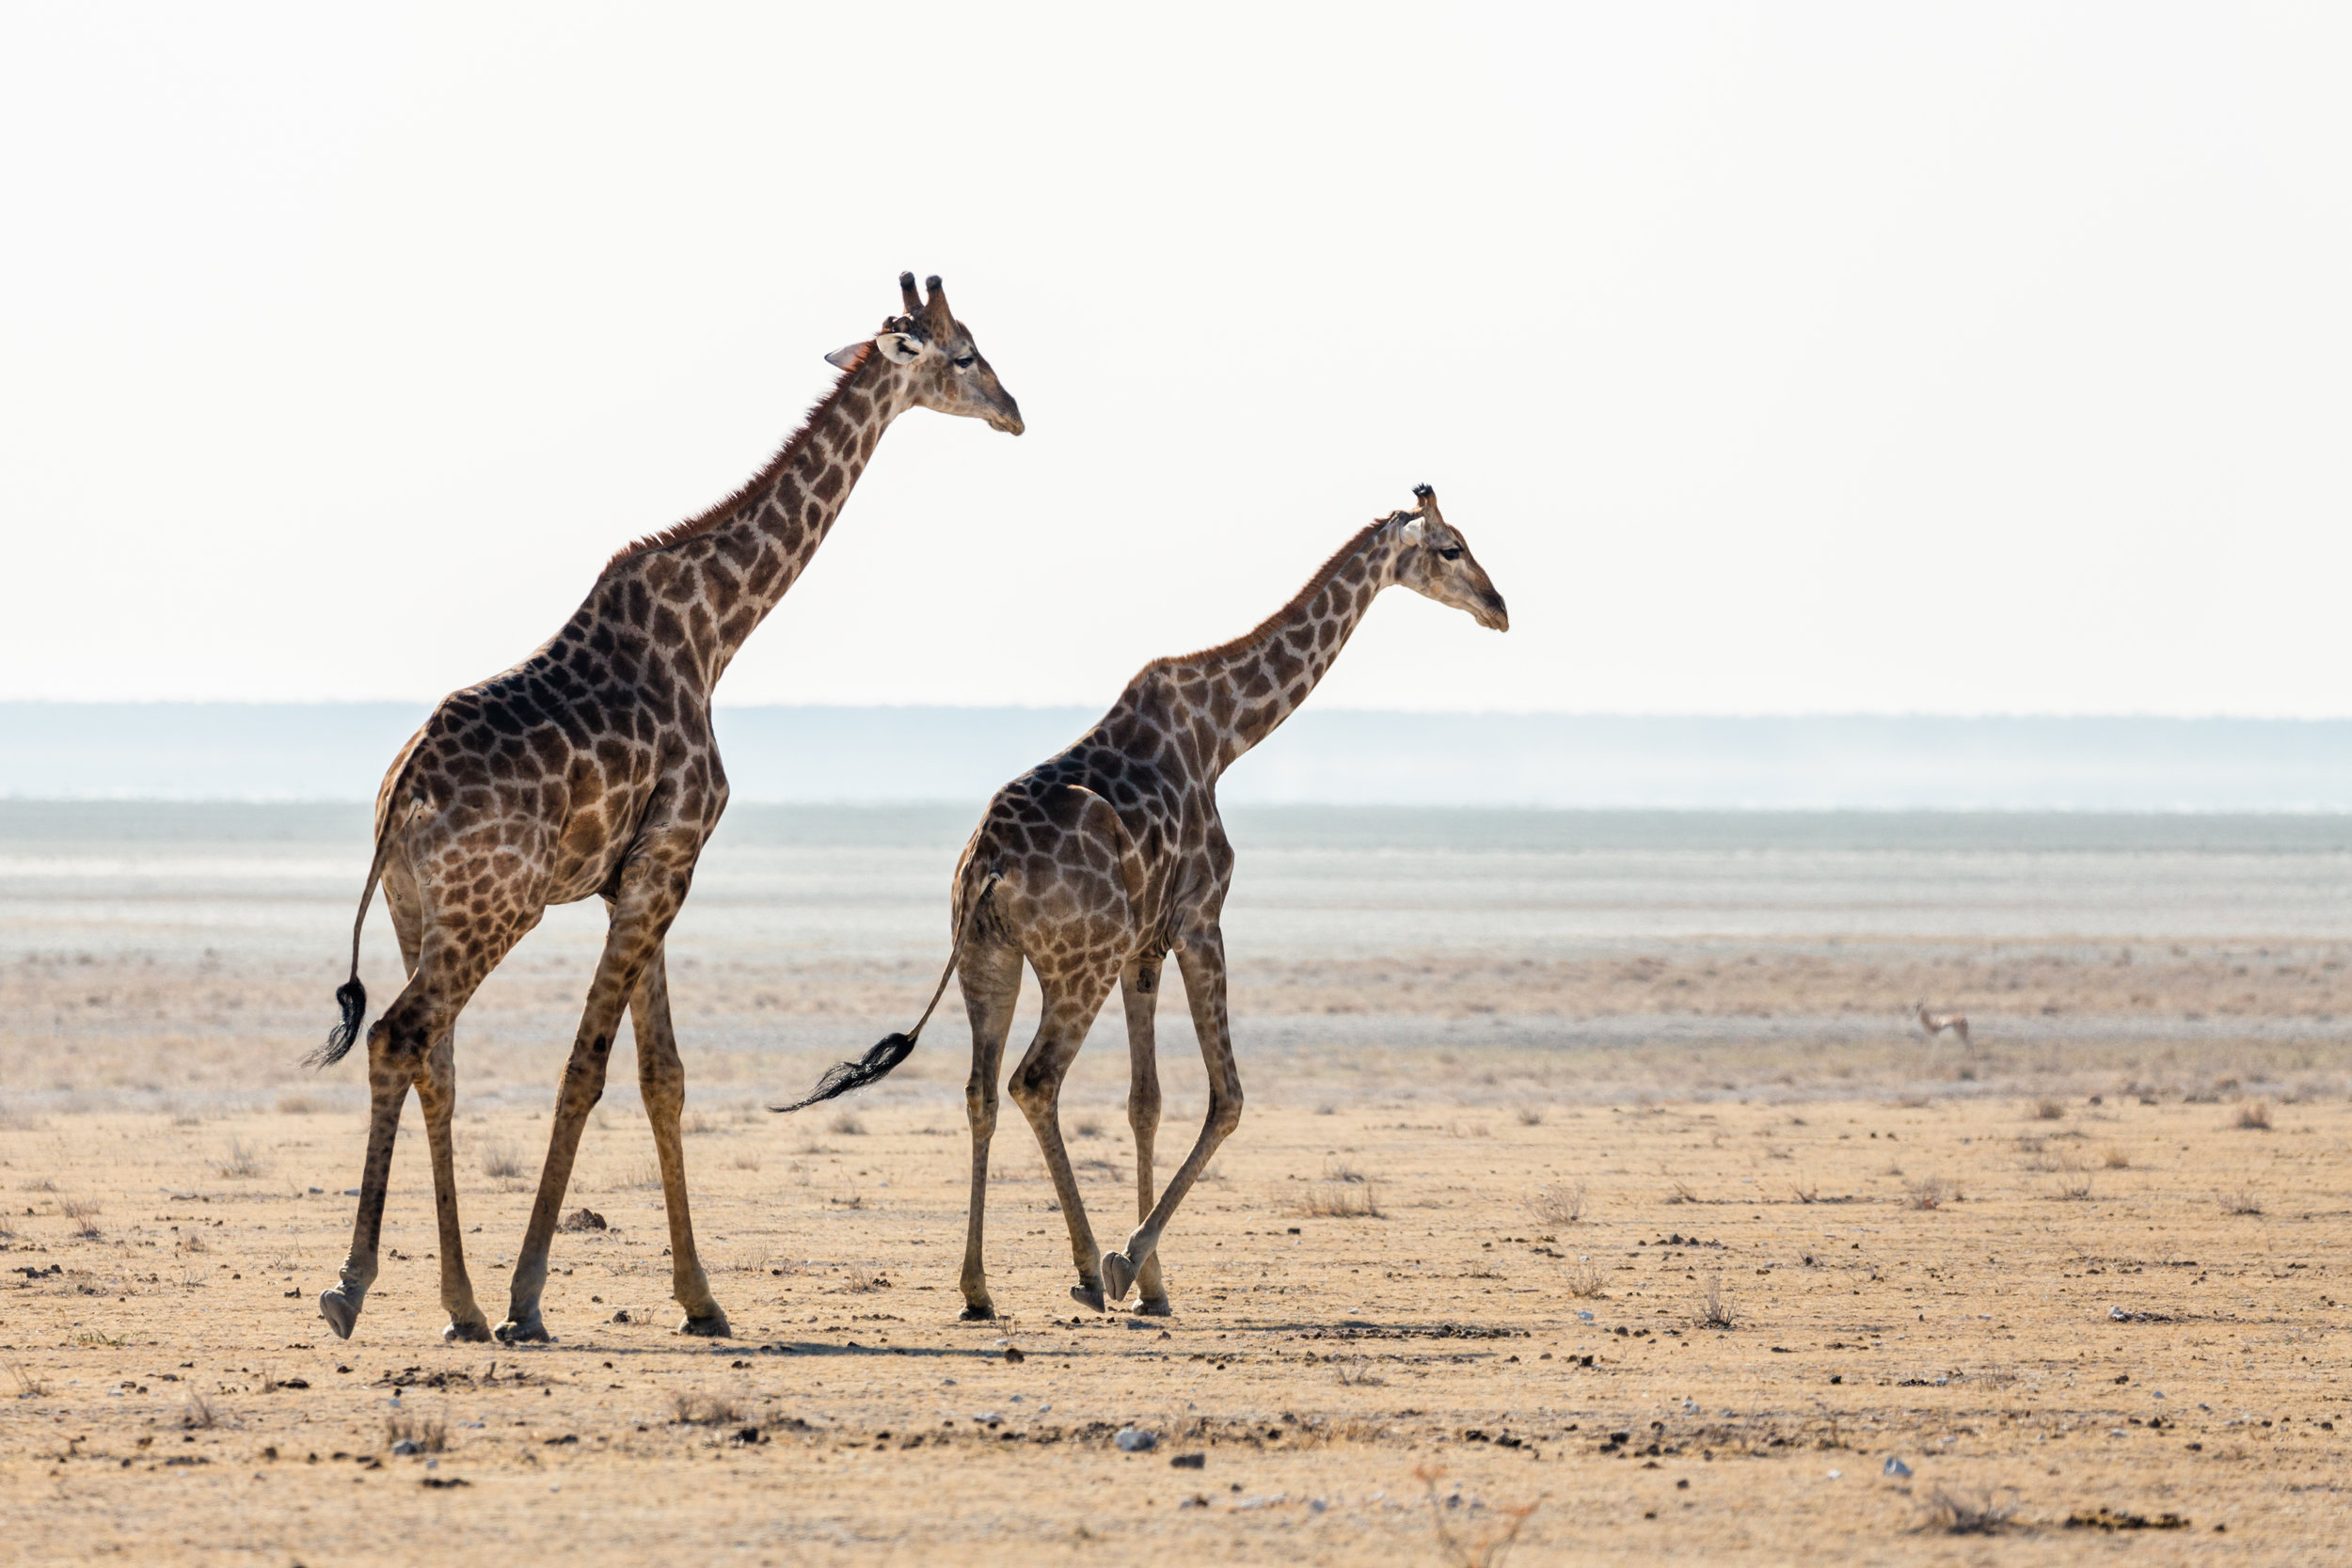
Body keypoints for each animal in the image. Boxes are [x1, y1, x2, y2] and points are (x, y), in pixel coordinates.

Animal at [308, 272, 1016, 1354]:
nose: (1016, 411)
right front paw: (530, 1298)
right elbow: (588, 1068)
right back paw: (357, 1288)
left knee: (436, 1057)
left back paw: (458, 1305)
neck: (717, 629)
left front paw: (700, 1299)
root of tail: (402, 796)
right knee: (399, 1034)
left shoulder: (636, 876)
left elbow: (662, 1076)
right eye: (966, 353)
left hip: (418, 910)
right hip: (492, 911)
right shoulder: (667, 861)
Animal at [776, 483, 1505, 1316]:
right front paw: (1131, 1263)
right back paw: (1089, 1268)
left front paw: (1155, 1284)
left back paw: (978, 1287)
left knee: (981, 1089)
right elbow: (1227, 1098)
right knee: (1034, 1081)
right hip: (1077, 964)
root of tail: (987, 864)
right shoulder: (1200, 920)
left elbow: (1144, 1100)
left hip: (989, 958)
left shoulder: (1143, 949)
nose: (1498, 607)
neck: (1225, 733)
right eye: (1451, 547)